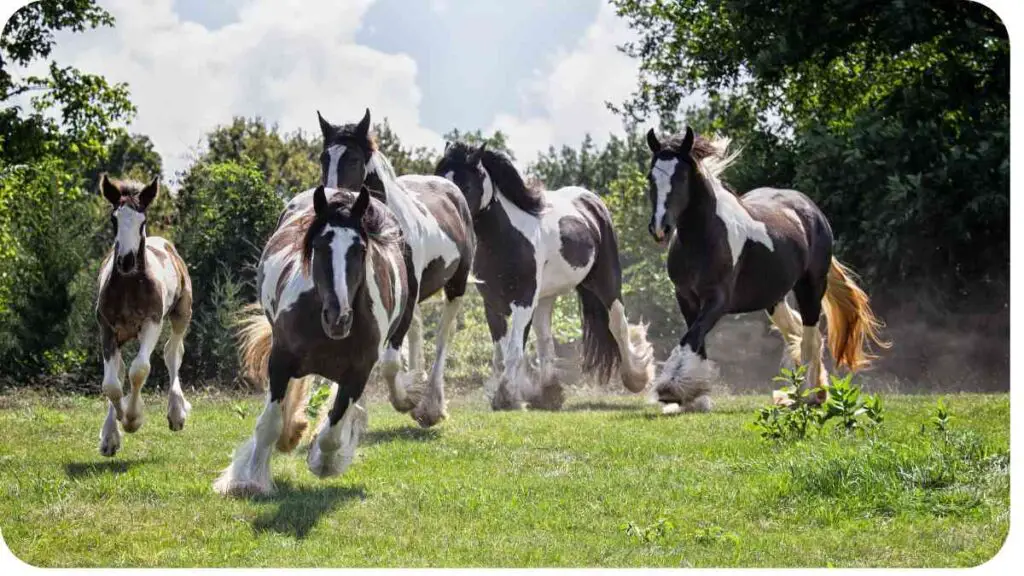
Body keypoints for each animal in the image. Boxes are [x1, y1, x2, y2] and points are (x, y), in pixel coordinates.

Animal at [95, 172, 193, 455]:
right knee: (118, 370)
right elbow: (112, 383)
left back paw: (176, 412)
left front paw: (133, 419)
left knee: (173, 352)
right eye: (114, 218)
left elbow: (140, 369)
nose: (126, 261)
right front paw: (114, 430)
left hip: (181, 314)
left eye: (143, 220)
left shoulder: (152, 323)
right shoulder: (106, 328)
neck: (129, 285)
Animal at [214, 183, 409, 494]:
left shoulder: (358, 373)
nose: (338, 317)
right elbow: (269, 423)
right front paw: (249, 480)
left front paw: (324, 462)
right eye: (318, 246)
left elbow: (333, 430)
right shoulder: (280, 361)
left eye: (360, 248)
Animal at [315, 109, 475, 428]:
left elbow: (389, 363)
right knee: (418, 329)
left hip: (456, 286)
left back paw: (430, 405)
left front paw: (407, 399)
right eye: (324, 158)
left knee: (443, 335)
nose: (332, 201)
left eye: (353, 158)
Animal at [436, 140, 651, 407]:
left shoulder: (524, 301)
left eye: (465, 184)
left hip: (606, 282)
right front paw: (514, 393)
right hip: (546, 297)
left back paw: (635, 378)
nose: (449, 214)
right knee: (545, 338)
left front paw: (507, 396)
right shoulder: (493, 304)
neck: (506, 238)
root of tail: (590, 201)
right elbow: (502, 354)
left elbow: (514, 350)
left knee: (617, 324)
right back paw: (549, 392)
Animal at [638, 127, 888, 409]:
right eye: (651, 177)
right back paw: (812, 391)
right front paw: (694, 397)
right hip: (774, 299)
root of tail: (811, 211)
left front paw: (671, 388)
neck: (704, 237)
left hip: (811, 287)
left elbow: (691, 337)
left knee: (810, 336)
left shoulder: (717, 300)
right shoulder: (686, 297)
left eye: (681, 176)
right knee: (796, 332)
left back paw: (808, 395)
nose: (660, 228)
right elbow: (695, 339)